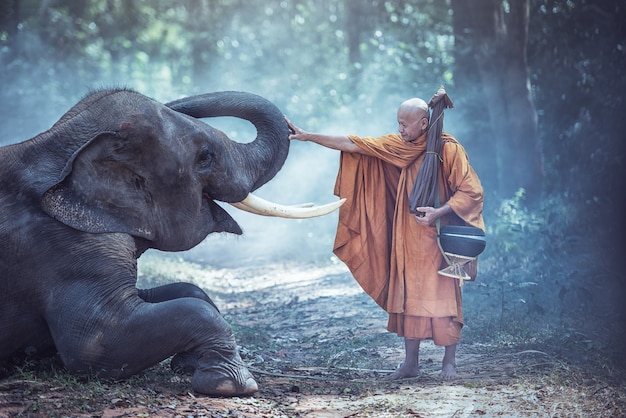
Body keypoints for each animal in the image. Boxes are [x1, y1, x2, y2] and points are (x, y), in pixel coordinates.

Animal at [0, 90, 342, 396]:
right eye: (205, 157)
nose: (294, 128)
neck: (54, 142)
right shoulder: (62, 246)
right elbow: (91, 346)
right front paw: (231, 385)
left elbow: (187, 291)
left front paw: (188, 363)